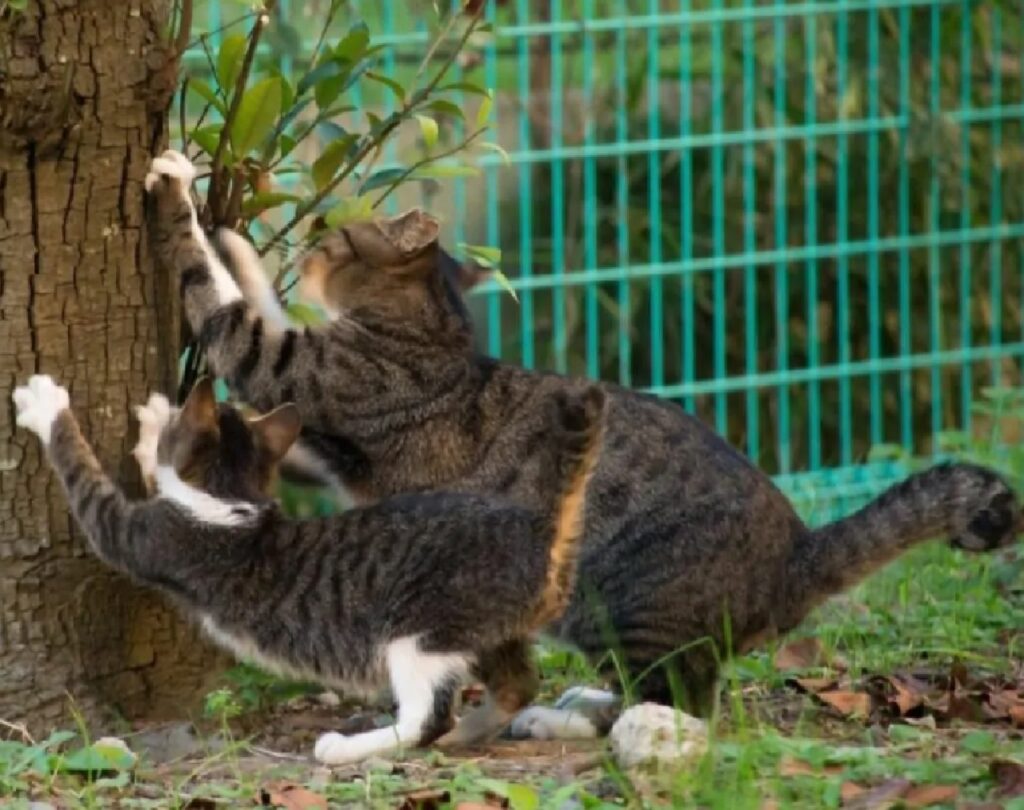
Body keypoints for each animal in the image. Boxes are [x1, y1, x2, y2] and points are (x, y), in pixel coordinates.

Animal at [14, 374, 606, 761]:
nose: (175, 404)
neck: (231, 500)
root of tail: (538, 523)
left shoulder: (142, 535)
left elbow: (87, 476)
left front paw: (47, 405)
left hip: (419, 629)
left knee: (427, 716)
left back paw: (346, 749)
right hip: (485, 628)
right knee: (515, 686)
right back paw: (465, 735)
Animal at [146, 148, 1024, 737]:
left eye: (334, 235)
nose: (308, 243)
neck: (434, 332)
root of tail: (797, 555)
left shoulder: (299, 373)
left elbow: (229, 307)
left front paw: (190, 203)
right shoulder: (320, 436)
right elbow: (256, 302)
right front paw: (240, 242)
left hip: (621, 600)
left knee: (680, 703)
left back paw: (577, 721)